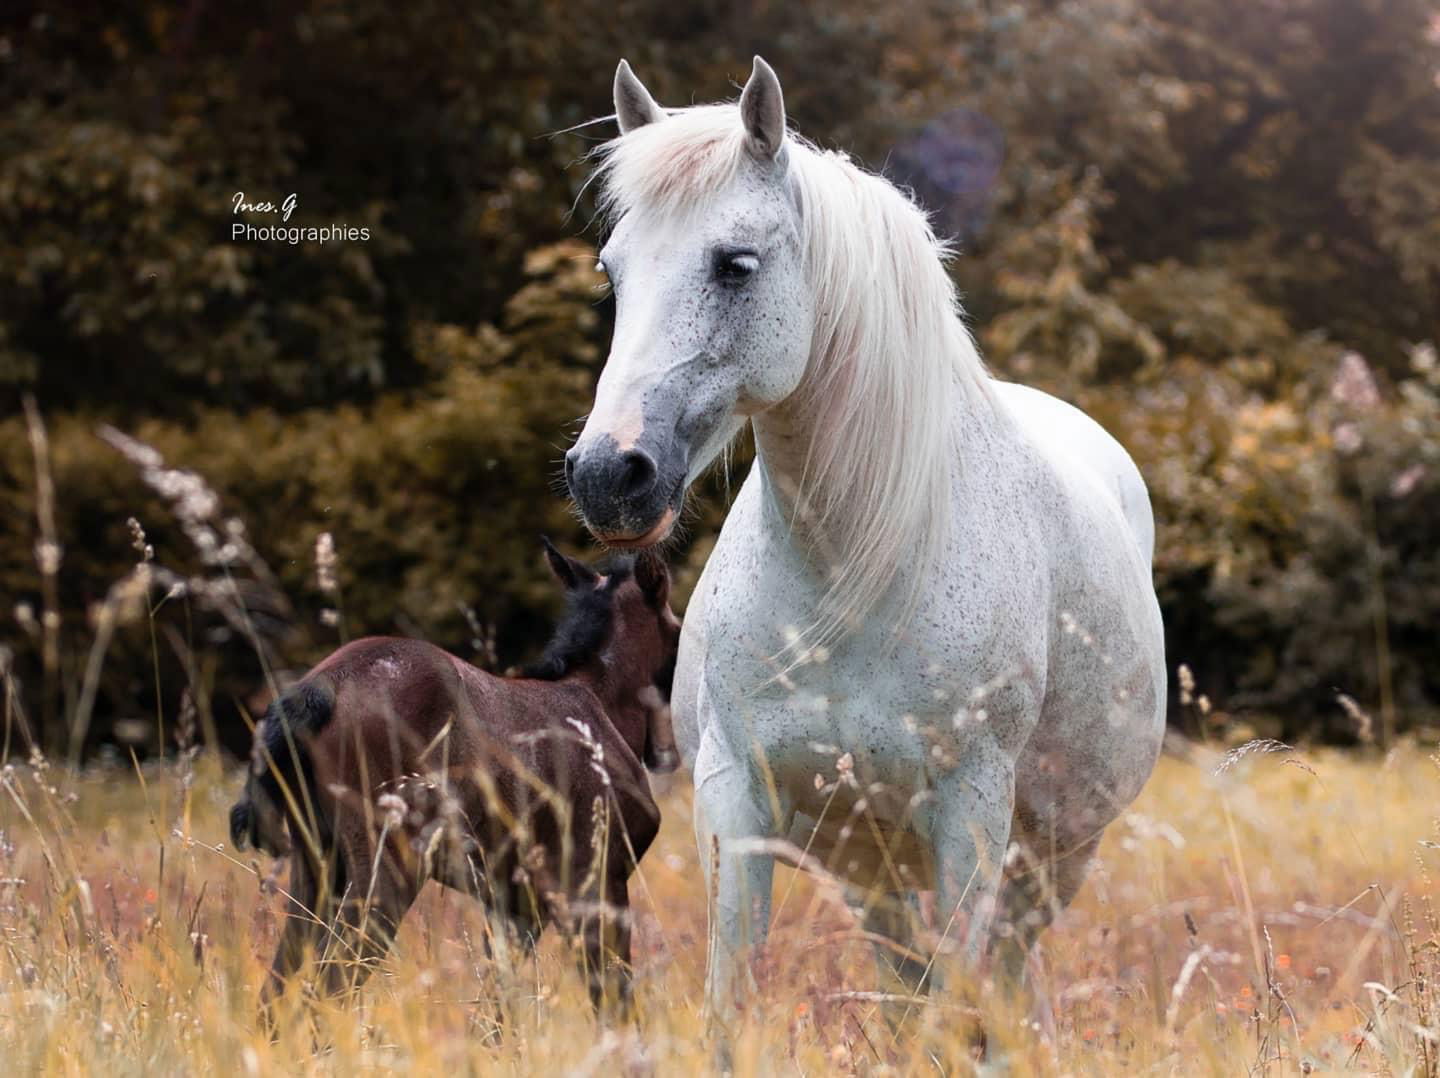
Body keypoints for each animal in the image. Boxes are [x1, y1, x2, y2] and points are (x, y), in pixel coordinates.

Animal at [233, 541, 682, 1013]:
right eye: (675, 623)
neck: (603, 703)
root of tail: (317, 689)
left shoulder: (516, 903)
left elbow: (497, 1008)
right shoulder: (596, 881)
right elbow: (614, 999)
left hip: (316, 869)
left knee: (275, 993)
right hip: (386, 868)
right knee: (328, 985)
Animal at [564, 54, 1169, 1024]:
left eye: (735, 265)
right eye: (614, 272)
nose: (606, 474)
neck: (848, 577)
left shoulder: (971, 818)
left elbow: (959, 1010)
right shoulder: (737, 804)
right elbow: (732, 996)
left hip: (1051, 859)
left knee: (1002, 977)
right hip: (874, 872)